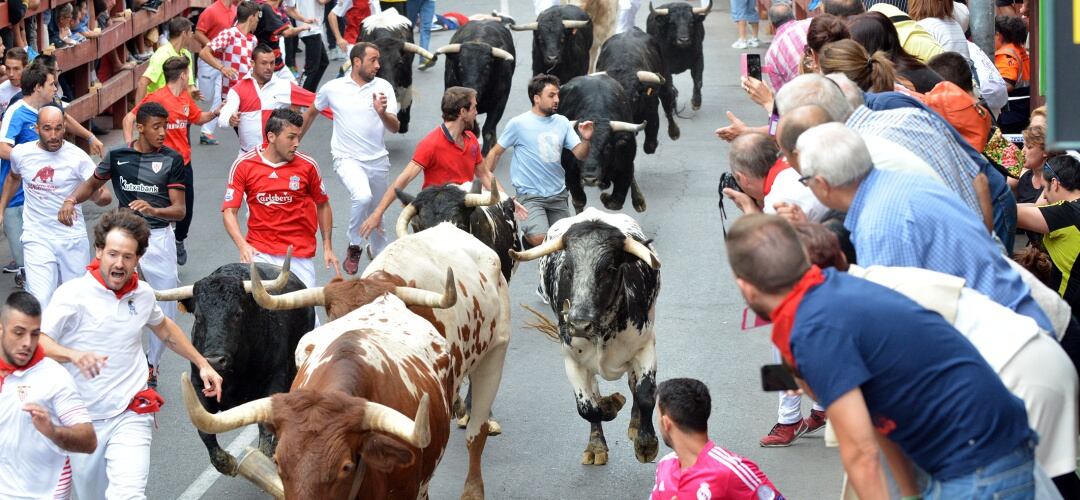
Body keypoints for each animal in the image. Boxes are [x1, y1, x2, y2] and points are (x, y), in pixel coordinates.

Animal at [511, 207, 656, 466]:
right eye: (568, 268)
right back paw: (596, 444)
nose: (579, 324)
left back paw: (635, 424)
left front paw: (646, 444)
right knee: (595, 391)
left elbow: (645, 393)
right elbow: (589, 408)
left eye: (609, 269)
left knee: (633, 383)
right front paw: (609, 407)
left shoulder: (645, 346)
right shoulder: (573, 360)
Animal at [557, 75, 648, 213]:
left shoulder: (625, 168)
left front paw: (605, 197)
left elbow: (615, 202)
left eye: (607, 147)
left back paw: (639, 201)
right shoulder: (570, 172)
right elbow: (579, 201)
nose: (589, 179)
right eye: (578, 147)